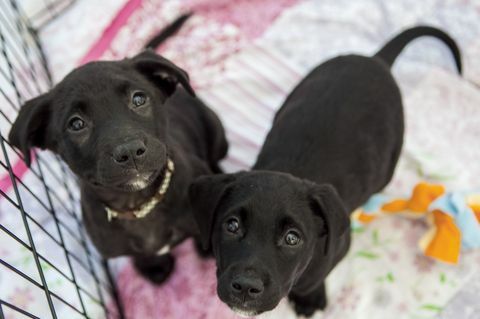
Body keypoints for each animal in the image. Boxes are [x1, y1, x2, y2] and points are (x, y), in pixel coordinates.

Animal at [9, 14, 229, 284]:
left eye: (139, 99)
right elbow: (141, 256)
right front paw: (153, 267)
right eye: (76, 124)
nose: (130, 151)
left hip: (216, 131)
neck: (138, 204)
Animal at [190, 26, 462, 318]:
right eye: (231, 225)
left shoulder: (338, 248)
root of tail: (375, 60)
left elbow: (315, 278)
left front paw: (309, 297)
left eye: (292, 238)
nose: (245, 286)